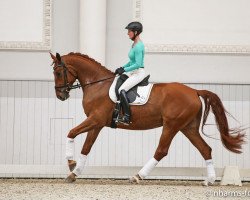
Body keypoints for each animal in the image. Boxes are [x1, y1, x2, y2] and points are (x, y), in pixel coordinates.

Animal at [49, 52, 245, 184]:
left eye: (58, 73)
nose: (60, 95)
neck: (98, 84)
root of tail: (194, 91)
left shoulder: (95, 120)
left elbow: (71, 132)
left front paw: (70, 163)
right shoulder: (97, 124)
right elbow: (86, 148)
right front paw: (74, 172)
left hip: (171, 125)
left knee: (161, 151)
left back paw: (137, 176)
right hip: (187, 127)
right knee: (205, 149)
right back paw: (210, 180)